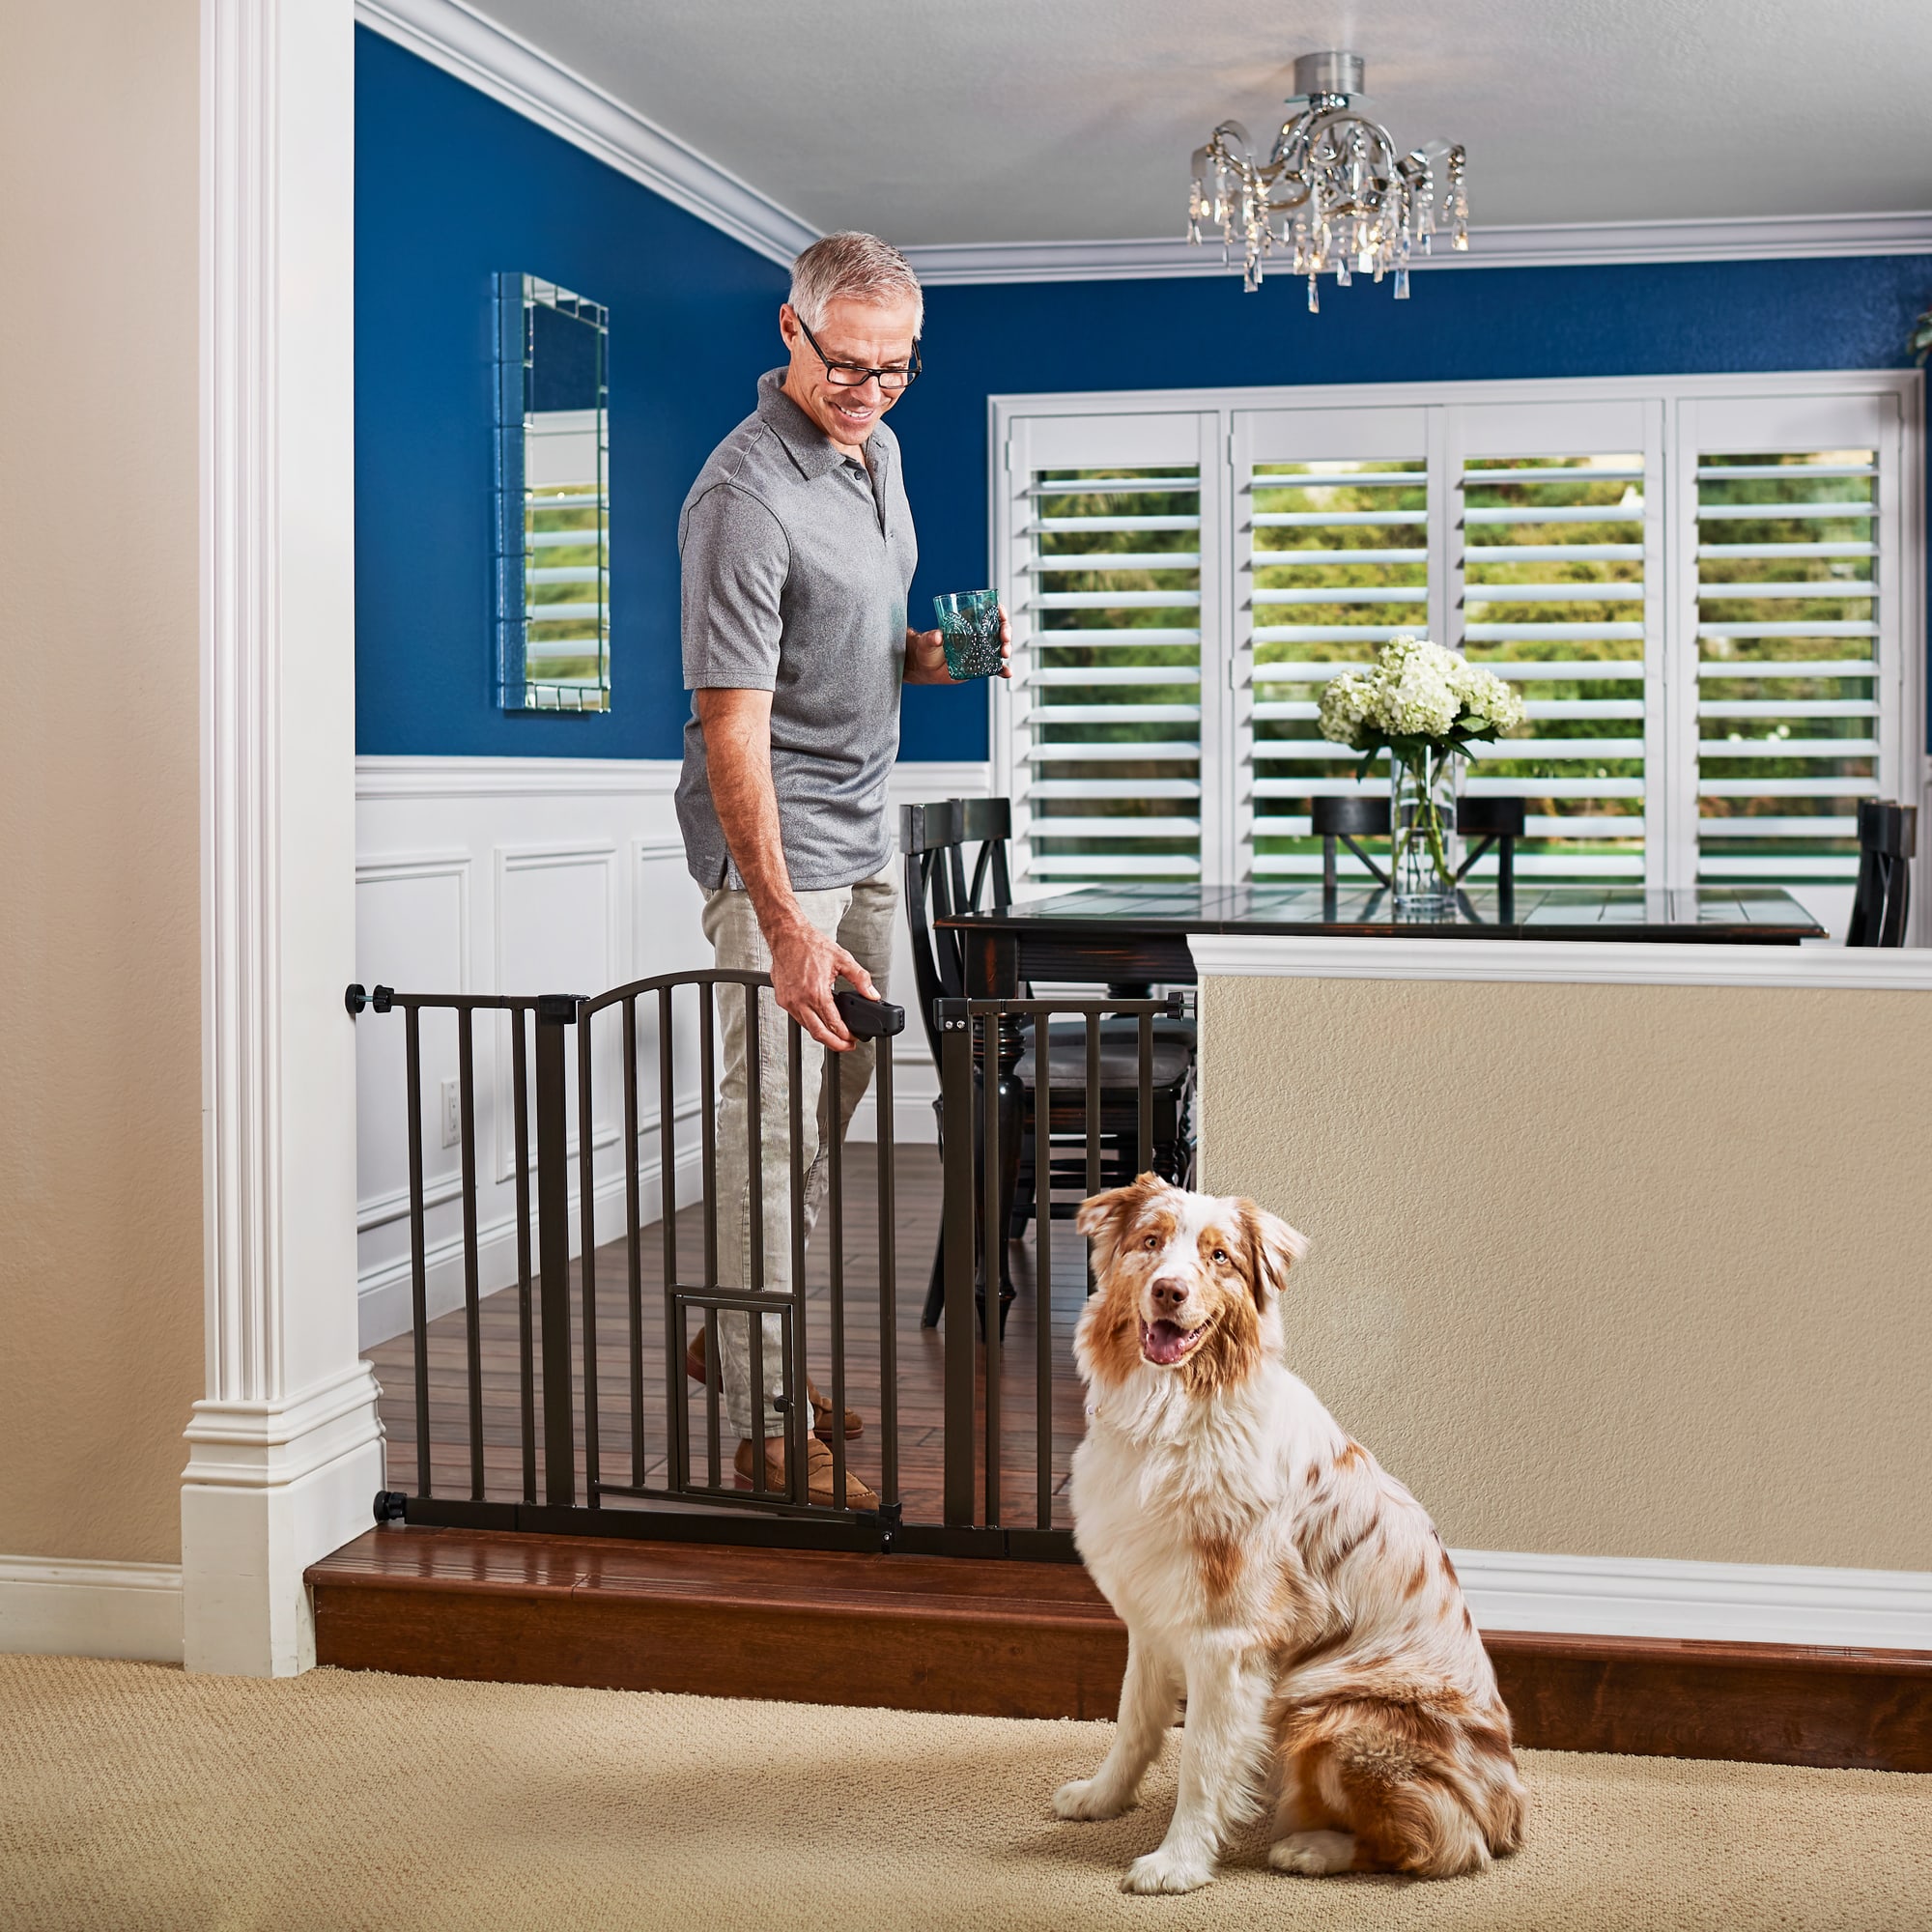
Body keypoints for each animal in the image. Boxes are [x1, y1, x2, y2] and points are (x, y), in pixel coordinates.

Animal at [1059, 1167, 1522, 1893]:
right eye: (1150, 1242)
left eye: (1219, 1257)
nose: (1169, 1290)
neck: (1172, 1415)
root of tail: (1511, 1817)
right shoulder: (1152, 1611)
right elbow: (1133, 1722)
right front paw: (1103, 1799)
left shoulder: (1228, 1637)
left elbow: (1201, 1764)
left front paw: (1177, 1863)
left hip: (1330, 1713)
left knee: (1447, 1843)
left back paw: (1310, 1849)